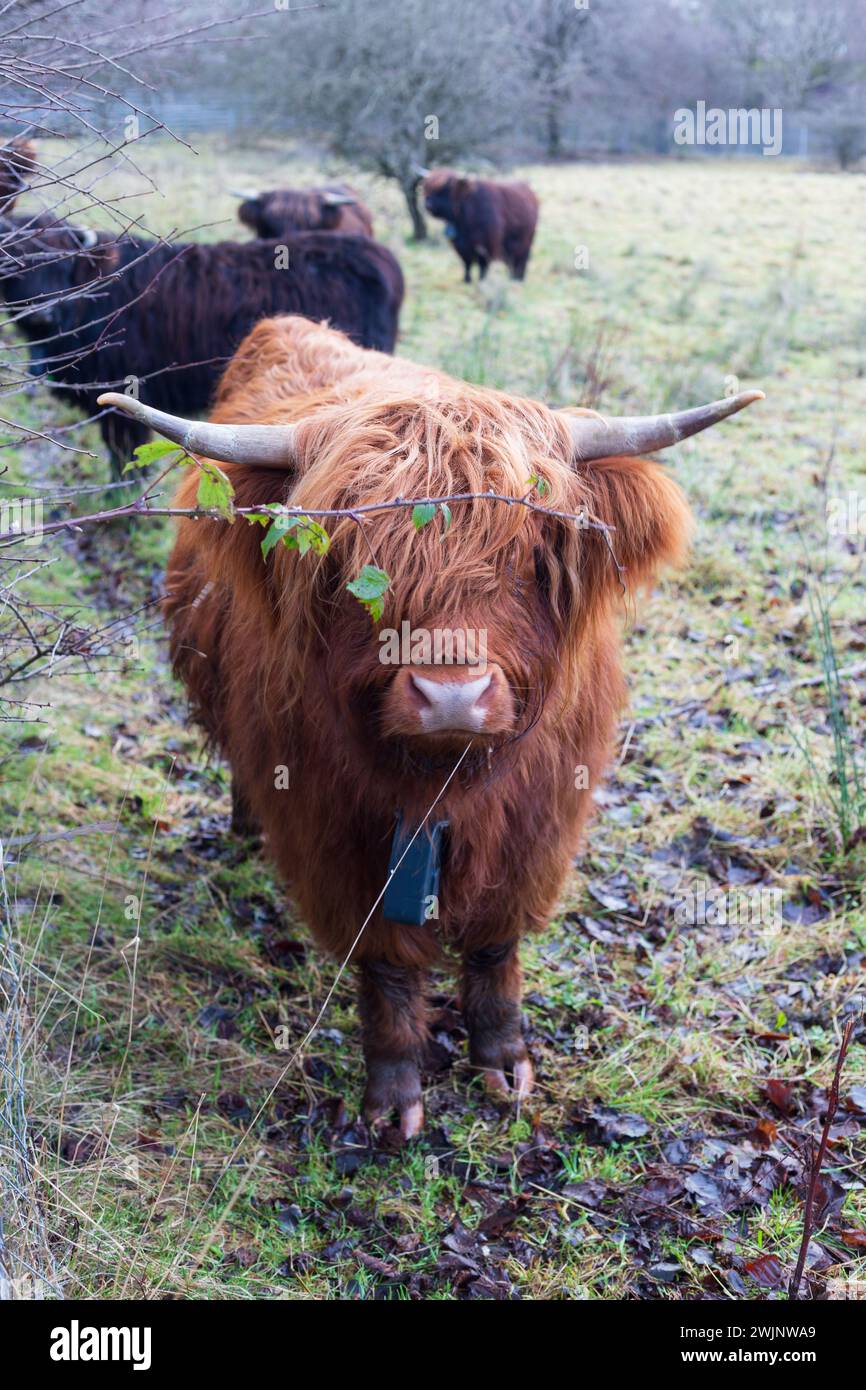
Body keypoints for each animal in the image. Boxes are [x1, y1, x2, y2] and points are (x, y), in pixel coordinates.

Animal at [103, 318, 767, 1139]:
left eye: (530, 555)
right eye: (353, 559)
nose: (452, 697)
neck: (445, 789)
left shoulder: (538, 824)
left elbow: (494, 944)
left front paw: (504, 1061)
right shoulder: (337, 836)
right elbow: (387, 963)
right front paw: (394, 1097)